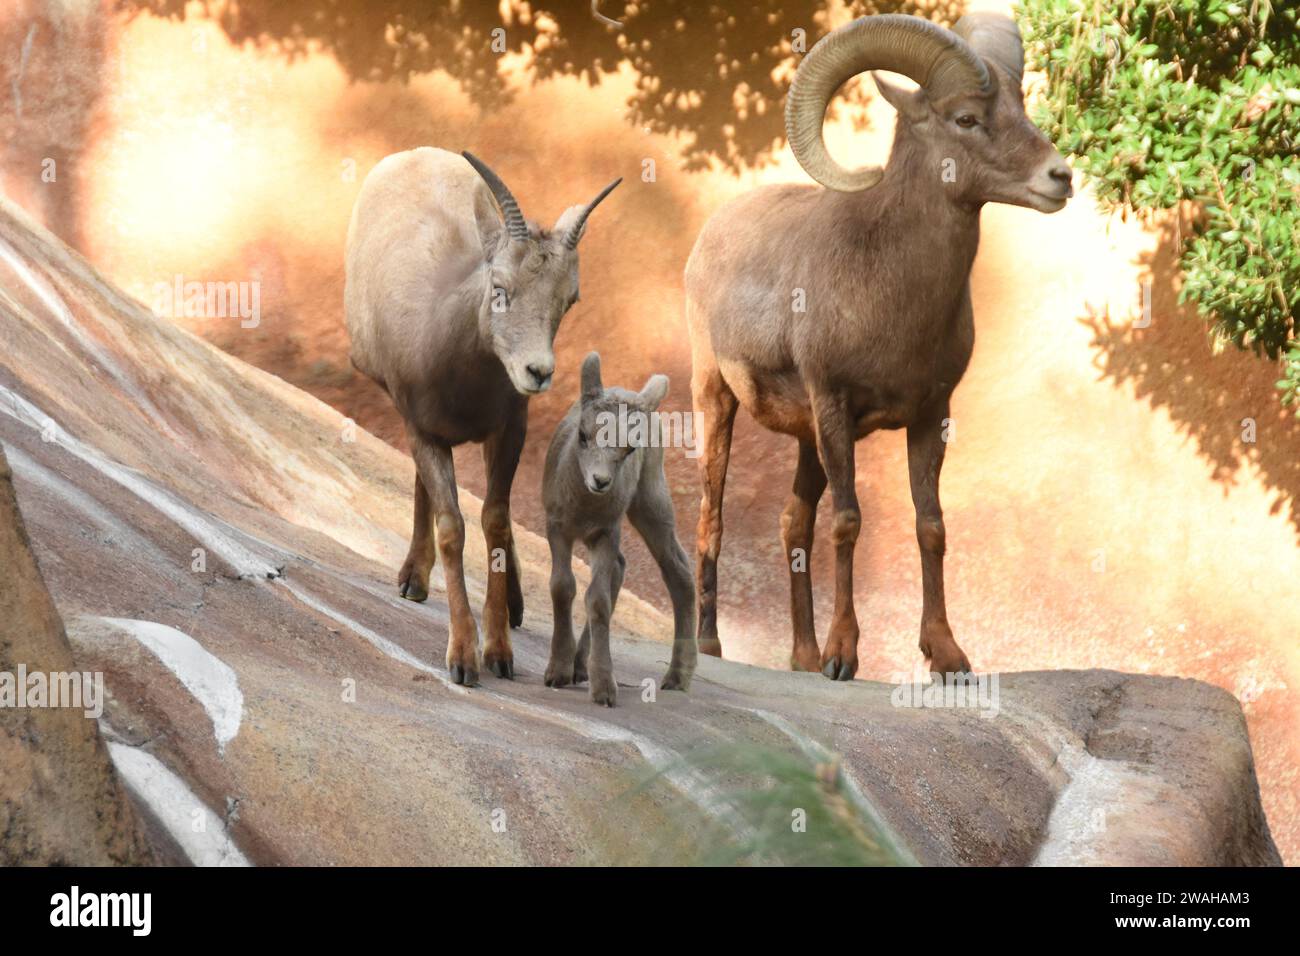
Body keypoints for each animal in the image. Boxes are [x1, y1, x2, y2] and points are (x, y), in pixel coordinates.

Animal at [540, 356, 696, 707]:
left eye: (629, 448)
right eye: (583, 435)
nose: (600, 481)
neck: (584, 509)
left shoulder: (605, 534)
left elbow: (596, 600)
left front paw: (604, 690)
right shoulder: (558, 529)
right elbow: (563, 587)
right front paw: (558, 671)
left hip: (650, 501)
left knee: (678, 570)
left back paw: (677, 677)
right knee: (625, 567)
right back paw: (578, 666)